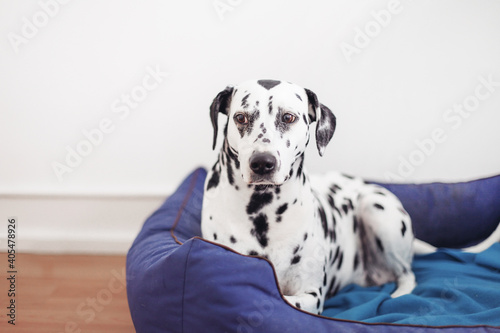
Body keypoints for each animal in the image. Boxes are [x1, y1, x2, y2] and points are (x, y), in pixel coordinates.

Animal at [200, 79, 500, 312]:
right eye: (241, 117)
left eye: (288, 117)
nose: (262, 163)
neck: (263, 210)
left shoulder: (311, 295)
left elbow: (288, 300)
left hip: (377, 209)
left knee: (408, 274)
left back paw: (399, 297)